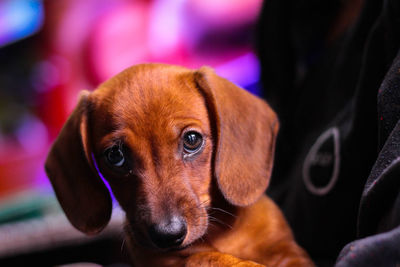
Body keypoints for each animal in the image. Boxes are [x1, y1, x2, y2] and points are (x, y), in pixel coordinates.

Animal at [43, 63, 312, 266]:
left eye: (192, 140)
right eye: (115, 155)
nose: (167, 235)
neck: (218, 232)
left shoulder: (288, 252)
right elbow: (206, 258)